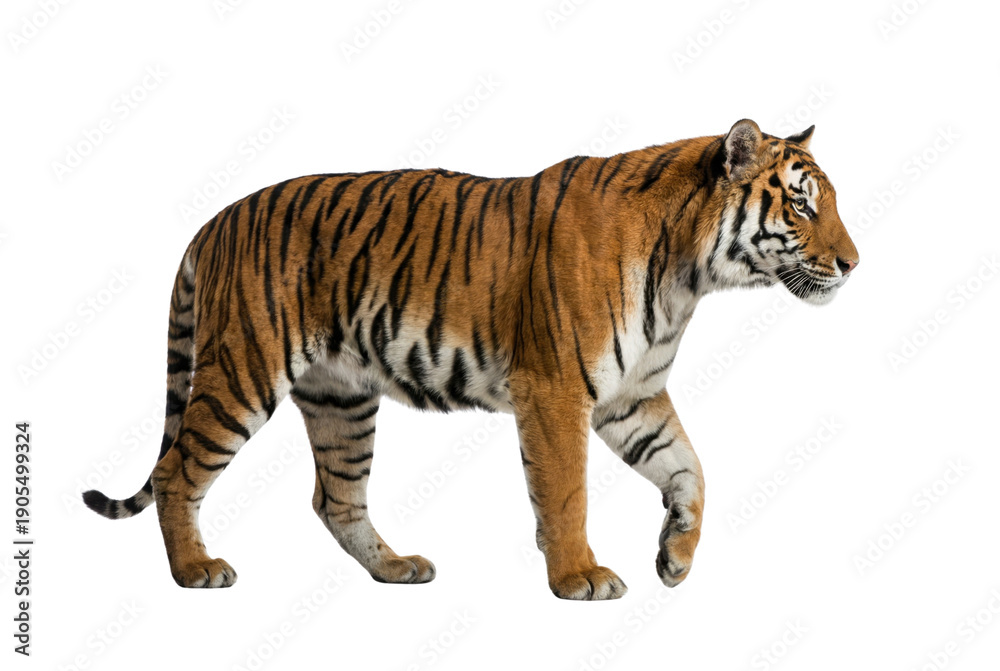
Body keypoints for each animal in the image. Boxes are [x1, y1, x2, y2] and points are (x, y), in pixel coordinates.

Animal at [83, 118, 859, 600]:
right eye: (801, 205)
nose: (854, 263)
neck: (689, 274)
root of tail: (215, 220)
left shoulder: (631, 397)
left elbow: (691, 471)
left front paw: (675, 556)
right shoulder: (555, 388)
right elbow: (566, 490)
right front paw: (579, 577)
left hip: (341, 398)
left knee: (336, 497)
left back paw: (396, 567)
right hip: (243, 370)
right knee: (177, 470)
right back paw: (196, 569)